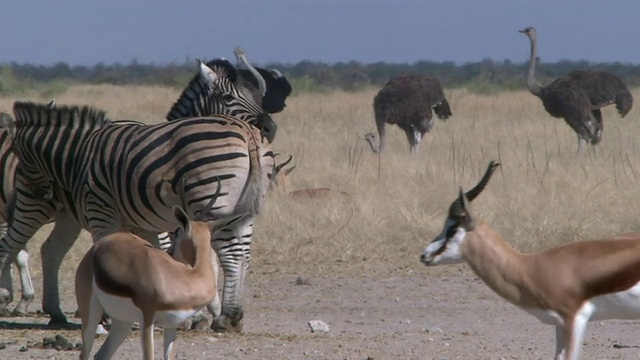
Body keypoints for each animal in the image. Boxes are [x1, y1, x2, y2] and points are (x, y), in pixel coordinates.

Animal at [0, 58, 276, 330]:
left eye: (254, 95)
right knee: (15, 245)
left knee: (45, 249)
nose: (270, 128)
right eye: (228, 97)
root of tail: (248, 136)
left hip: (62, 214)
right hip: (35, 207)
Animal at [75, 181, 245, 360]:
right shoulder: (147, 320)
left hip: (123, 322)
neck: (190, 279)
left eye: (176, 233)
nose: (169, 252)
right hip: (92, 314)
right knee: (85, 353)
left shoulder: (172, 325)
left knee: (100, 355)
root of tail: (96, 248)